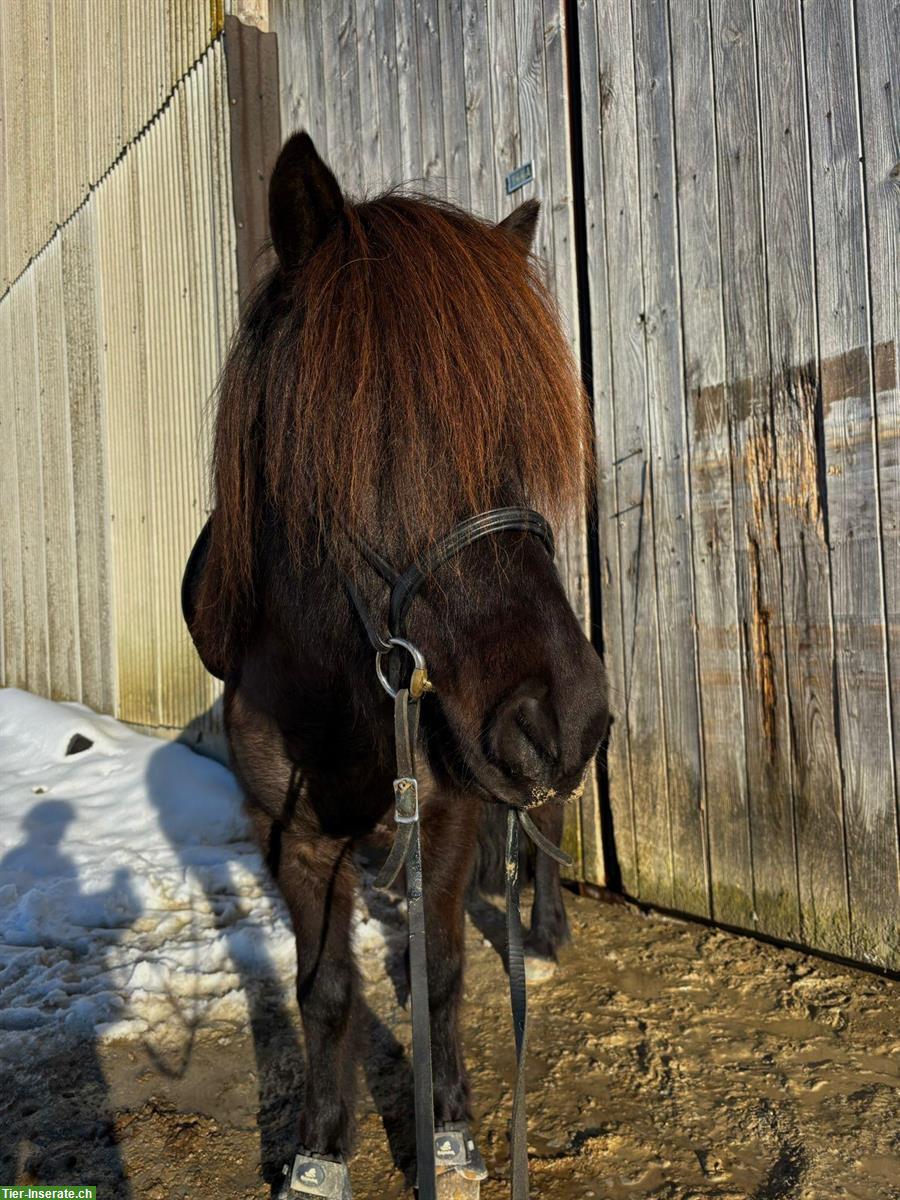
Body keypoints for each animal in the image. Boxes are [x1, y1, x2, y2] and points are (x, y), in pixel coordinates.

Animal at [187, 133, 614, 1200]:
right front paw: (320, 1147)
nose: (564, 715)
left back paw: (546, 932)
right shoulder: (291, 838)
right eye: (360, 430)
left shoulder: (450, 804)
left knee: (542, 822)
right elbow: (326, 990)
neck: (339, 694)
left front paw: (452, 1132)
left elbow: (445, 969)